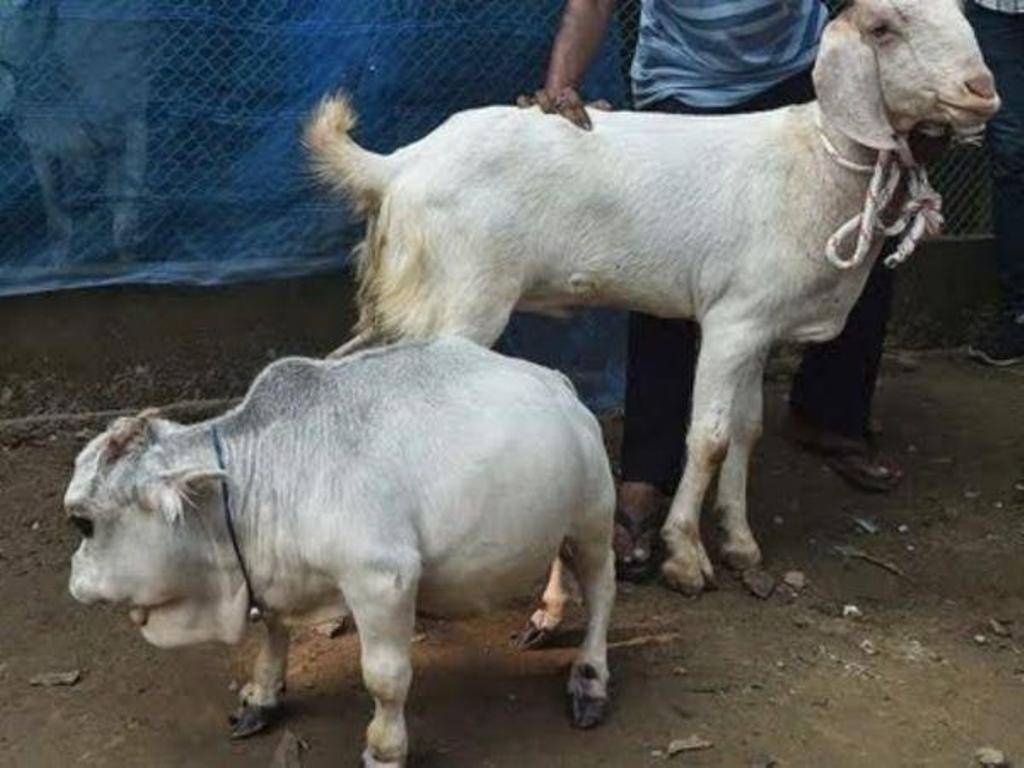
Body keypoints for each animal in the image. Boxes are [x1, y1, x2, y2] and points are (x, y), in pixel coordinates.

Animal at [64, 342, 614, 768]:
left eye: (82, 522)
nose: (74, 579)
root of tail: (558, 382)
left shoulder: (383, 579)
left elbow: (386, 678)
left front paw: (385, 749)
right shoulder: (277, 579)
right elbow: (274, 634)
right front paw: (262, 697)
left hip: (593, 520)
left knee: (601, 593)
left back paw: (588, 679)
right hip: (559, 519)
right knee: (559, 560)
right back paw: (546, 617)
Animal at [303, 0, 999, 593]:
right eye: (885, 27)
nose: (982, 90)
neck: (813, 162)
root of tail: (398, 165)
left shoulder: (759, 323)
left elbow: (746, 431)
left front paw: (741, 543)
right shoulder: (732, 321)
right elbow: (709, 437)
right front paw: (686, 554)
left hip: (409, 299)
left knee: (344, 368)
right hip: (462, 297)